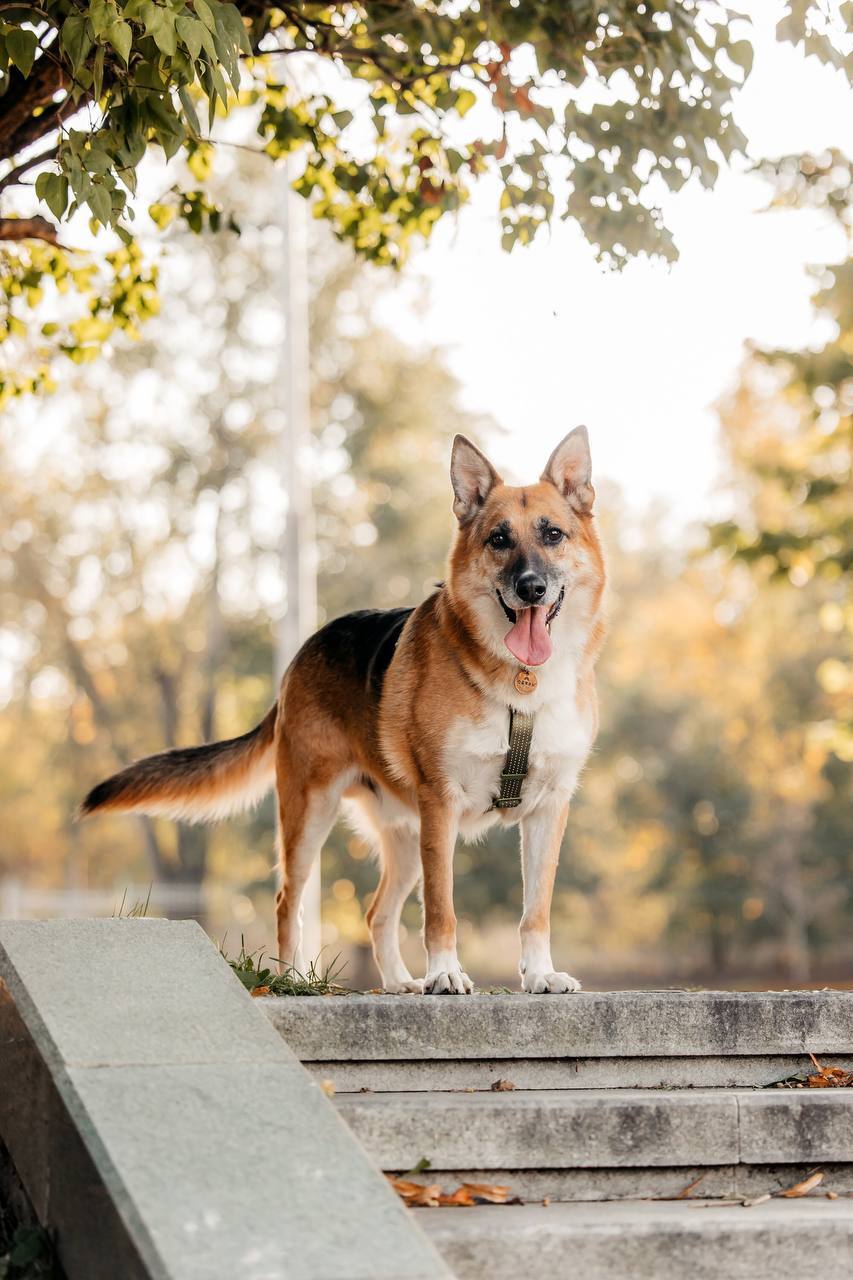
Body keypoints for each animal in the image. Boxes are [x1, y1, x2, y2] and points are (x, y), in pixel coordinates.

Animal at [76, 427, 601, 988]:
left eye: (553, 535)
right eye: (499, 540)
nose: (531, 588)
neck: (522, 684)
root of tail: (300, 654)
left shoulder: (547, 811)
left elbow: (536, 911)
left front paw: (541, 974)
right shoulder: (441, 805)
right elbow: (442, 909)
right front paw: (444, 975)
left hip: (406, 837)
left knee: (376, 914)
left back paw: (398, 984)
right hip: (313, 813)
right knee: (289, 901)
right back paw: (292, 979)